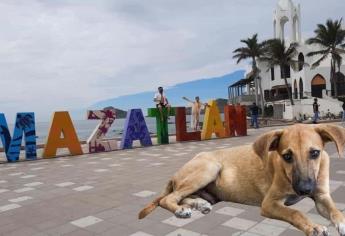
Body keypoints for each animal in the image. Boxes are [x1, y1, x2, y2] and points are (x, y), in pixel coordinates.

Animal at [138, 124, 344, 235]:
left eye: (315, 153)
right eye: (287, 156)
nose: (305, 189)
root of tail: (175, 174)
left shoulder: (322, 196)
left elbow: (335, 211)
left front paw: (341, 223)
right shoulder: (269, 203)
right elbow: (296, 213)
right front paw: (314, 227)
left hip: (208, 188)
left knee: (184, 196)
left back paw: (199, 204)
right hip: (209, 168)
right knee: (169, 198)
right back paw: (181, 210)